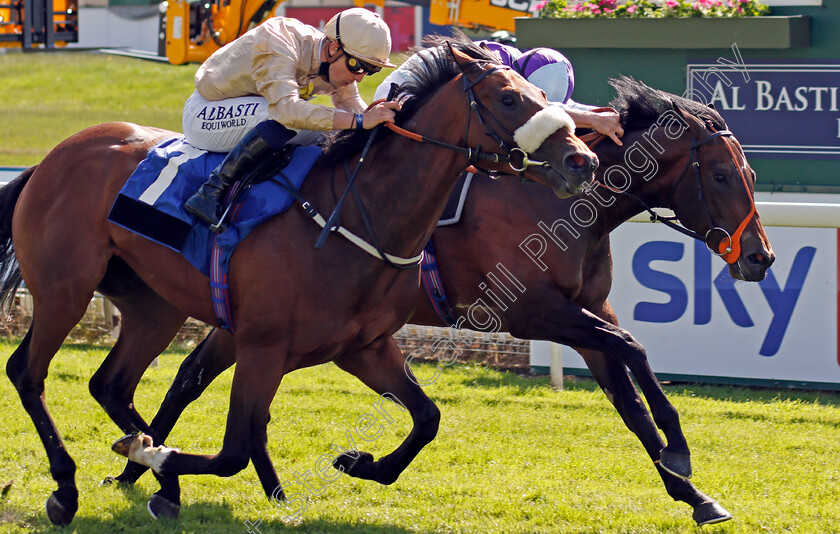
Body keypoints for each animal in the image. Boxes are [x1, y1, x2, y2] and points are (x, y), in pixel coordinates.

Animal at [0, 36, 596, 528]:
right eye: (510, 99)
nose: (582, 159)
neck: (352, 215)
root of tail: (51, 158)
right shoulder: (262, 345)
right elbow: (234, 449)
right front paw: (151, 457)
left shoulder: (362, 347)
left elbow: (427, 417)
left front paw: (358, 462)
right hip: (64, 289)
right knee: (28, 372)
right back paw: (69, 489)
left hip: (154, 307)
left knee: (112, 383)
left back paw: (152, 473)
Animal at [111, 77, 776, 528]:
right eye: (722, 176)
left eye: (748, 175)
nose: (761, 258)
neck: (556, 203)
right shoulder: (531, 312)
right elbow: (634, 350)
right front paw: (681, 452)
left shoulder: (589, 313)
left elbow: (632, 401)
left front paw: (694, 494)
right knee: (195, 383)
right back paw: (147, 467)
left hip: (251, 322)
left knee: (194, 377)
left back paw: (153, 469)